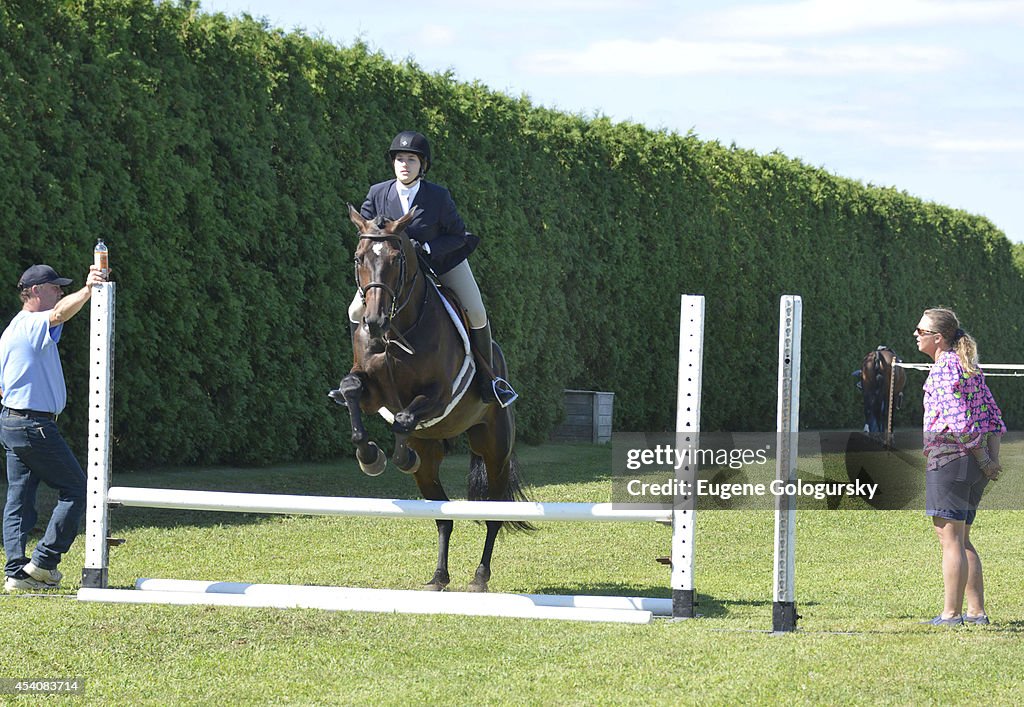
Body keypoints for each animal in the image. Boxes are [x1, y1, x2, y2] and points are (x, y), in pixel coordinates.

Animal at [331, 202, 532, 590]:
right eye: (359, 257)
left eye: (397, 259)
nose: (374, 323)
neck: (398, 328)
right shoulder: (372, 392)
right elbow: (351, 391)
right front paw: (369, 456)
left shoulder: (439, 394)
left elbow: (405, 418)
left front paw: (396, 456)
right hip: (433, 458)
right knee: (443, 514)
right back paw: (438, 576)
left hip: (494, 448)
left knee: (494, 512)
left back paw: (480, 577)